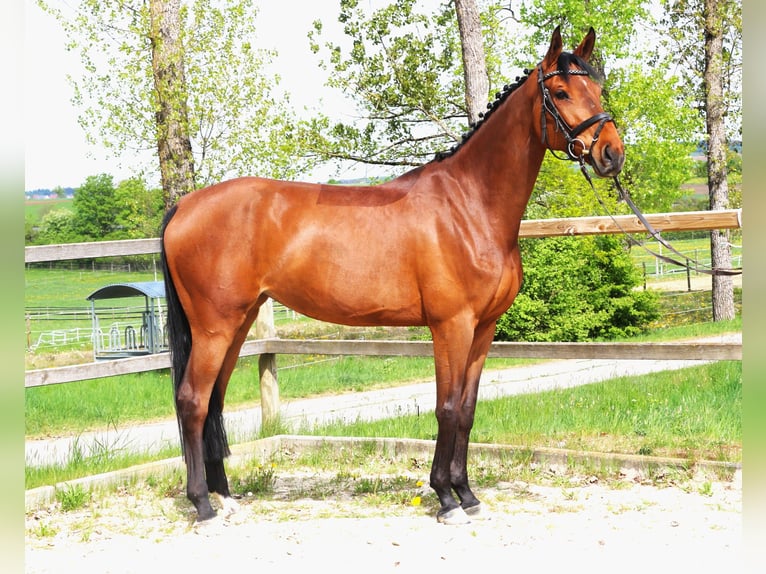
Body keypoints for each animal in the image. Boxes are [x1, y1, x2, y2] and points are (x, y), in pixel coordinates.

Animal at [160, 26, 624, 525]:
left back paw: (225, 497)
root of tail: (184, 206)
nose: (611, 154)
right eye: (560, 92)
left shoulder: (483, 329)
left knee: (213, 402)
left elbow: (467, 409)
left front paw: (467, 494)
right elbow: (447, 408)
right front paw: (446, 498)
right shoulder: (451, 326)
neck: (469, 205)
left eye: (598, 90)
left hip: (238, 322)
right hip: (214, 326)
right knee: (192, 401)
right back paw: (203, 505)